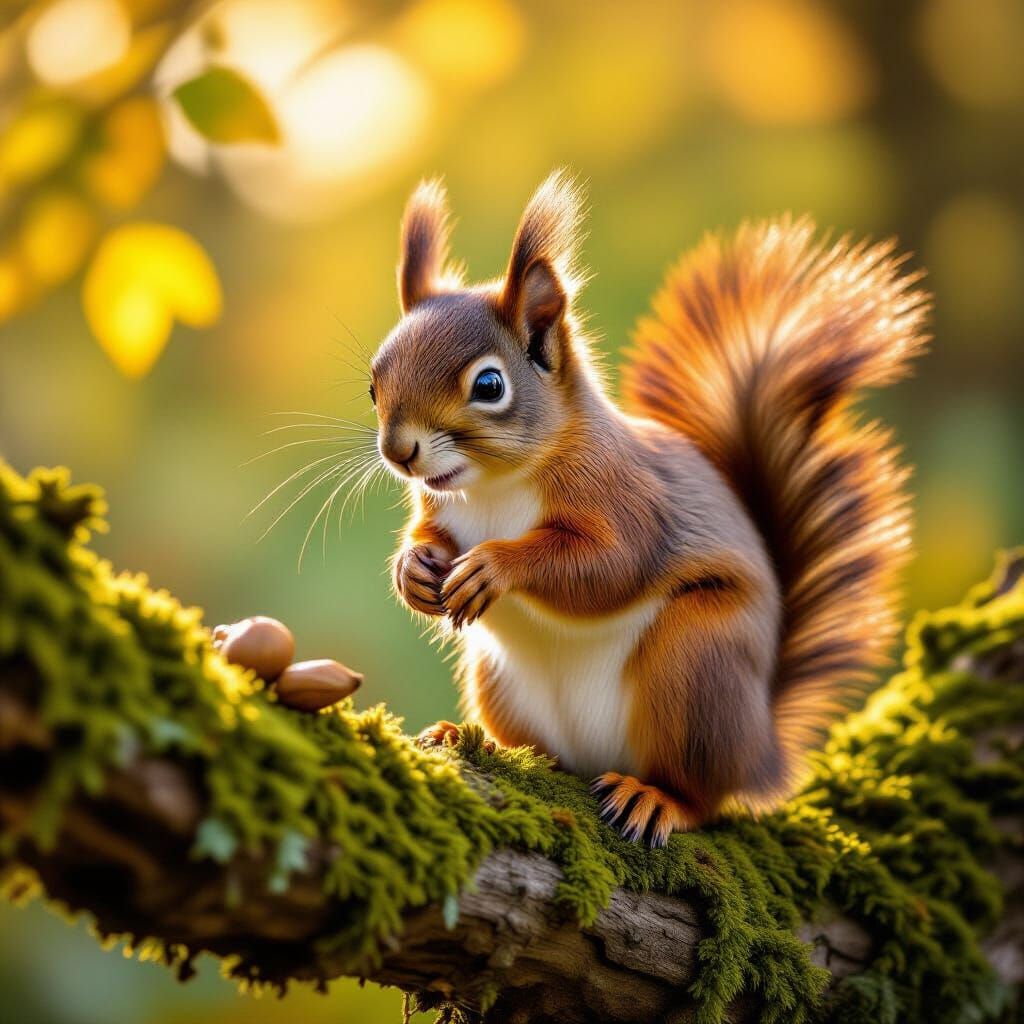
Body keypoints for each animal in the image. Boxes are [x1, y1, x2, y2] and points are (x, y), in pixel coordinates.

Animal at [369, 171, 930, 847]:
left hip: (695, 665)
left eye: (489, 385)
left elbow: (609, 566)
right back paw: (476, 741)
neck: (491, 488)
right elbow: (427, 536)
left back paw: (657, 799)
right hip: (498, 680)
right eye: (373, 383)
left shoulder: (627, 497)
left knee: (704, 796)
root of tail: (761, 750)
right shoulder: (439, 507)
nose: (399, 452)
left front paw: (494, 566)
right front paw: (413, 570)